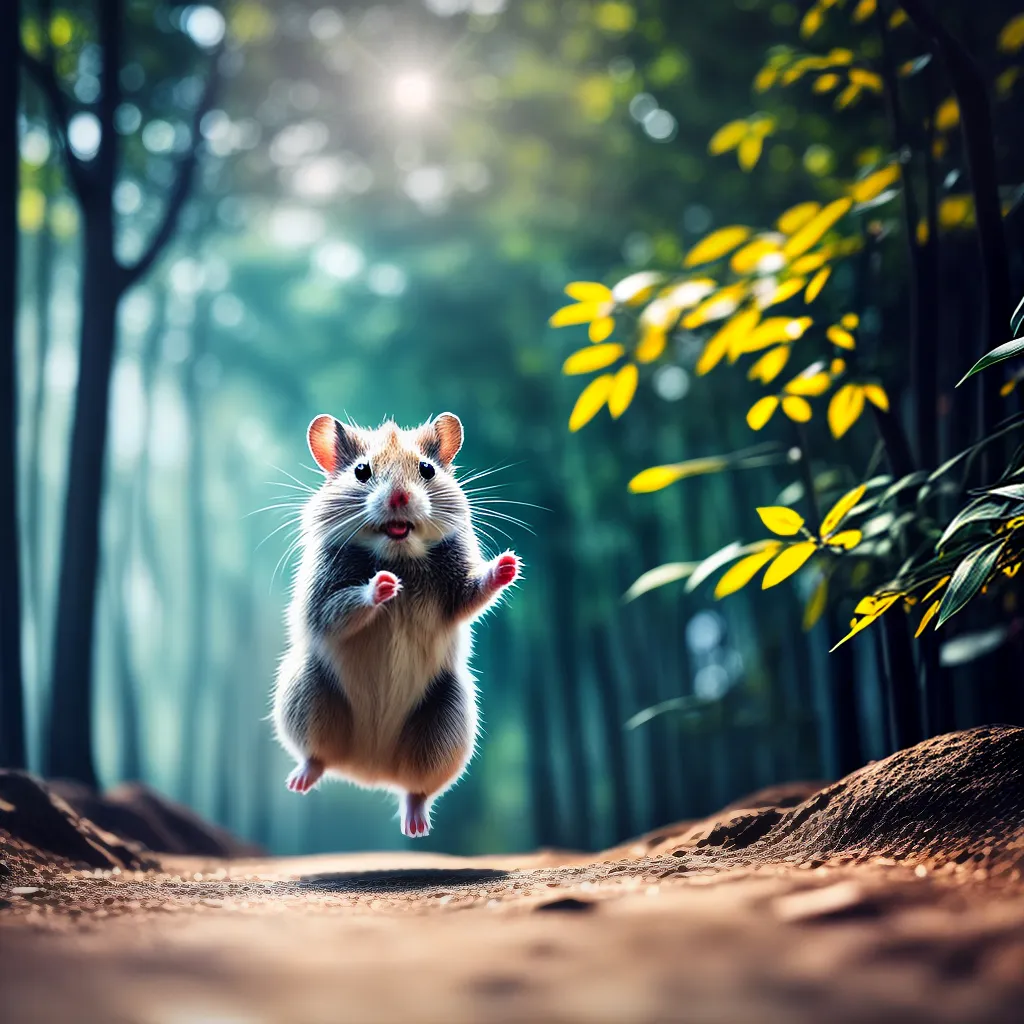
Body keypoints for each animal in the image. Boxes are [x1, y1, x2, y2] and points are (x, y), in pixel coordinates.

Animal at [272, 412, 520, 838]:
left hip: (446, 723)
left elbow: (473, 591)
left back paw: (415, 824)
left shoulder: (455, 589)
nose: (400, 498)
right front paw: (384, 585)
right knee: (316, 756)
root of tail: (368, 769)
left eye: (427, 469)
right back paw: (302, 778)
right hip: (305, 692)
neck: (397, 553)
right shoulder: (322, 596)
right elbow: (339, 610)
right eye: (361, 471)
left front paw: (508, 565)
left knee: (415, 790)